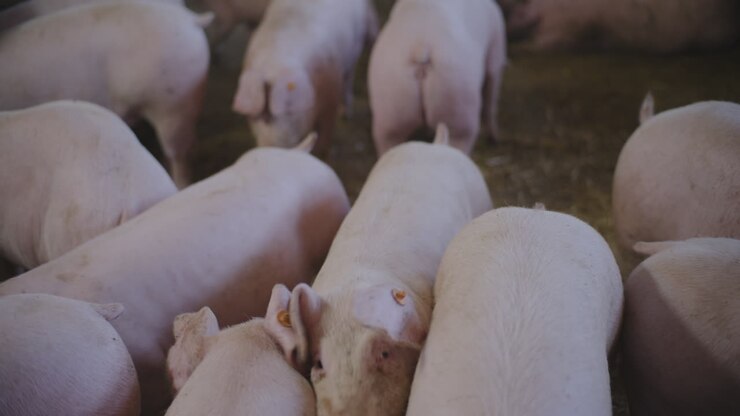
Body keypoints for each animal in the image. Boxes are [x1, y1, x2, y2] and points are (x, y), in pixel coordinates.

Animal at [367, 0, 506, 155]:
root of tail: (421, 45)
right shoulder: (496, 48)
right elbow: (491, 93)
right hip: (457, 100)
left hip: (390, 104)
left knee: (387, 138)